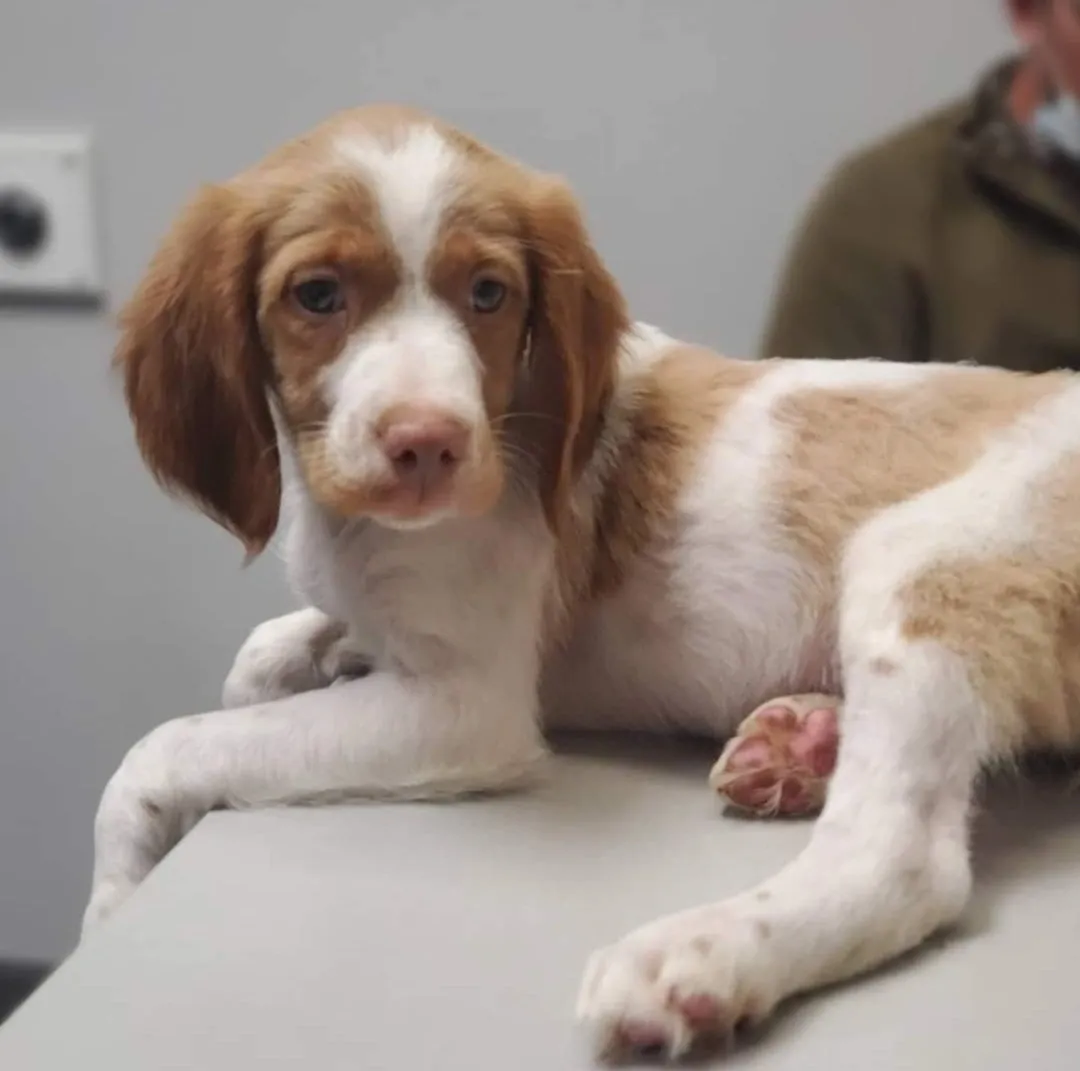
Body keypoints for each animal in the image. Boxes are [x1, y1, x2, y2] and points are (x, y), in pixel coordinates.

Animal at [88, 102, 1080, 1062]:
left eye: (489, 294)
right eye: (317, 295)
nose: (428, 445)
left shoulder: (462, 706)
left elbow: (167, 747)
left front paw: (112, 901)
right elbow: (260, 659)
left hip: (922, 555)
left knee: (902, 863)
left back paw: (700, 953)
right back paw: (803, 744)